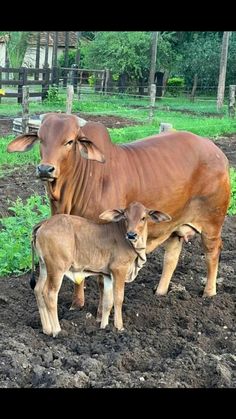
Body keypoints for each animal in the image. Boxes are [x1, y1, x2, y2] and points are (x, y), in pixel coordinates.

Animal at [6, 113, 230, 314]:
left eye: (69, 141)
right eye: (41, 139)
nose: (45, 169)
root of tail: (217, 151)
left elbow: (100, 280)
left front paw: (99, 312)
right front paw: (77, 304)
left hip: (212, 222)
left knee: (212, 252)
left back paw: (209, 293)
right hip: (173, 226)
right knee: (172, 256)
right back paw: (160, 292)